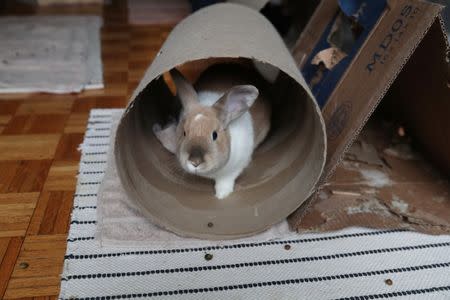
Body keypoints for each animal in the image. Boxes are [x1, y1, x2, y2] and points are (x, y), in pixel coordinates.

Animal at [153, 63, 270, 199]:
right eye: (184, 133)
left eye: (214, 135)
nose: (195, 162)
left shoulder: (236, 167)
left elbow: (225, 180)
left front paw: (221, 195)